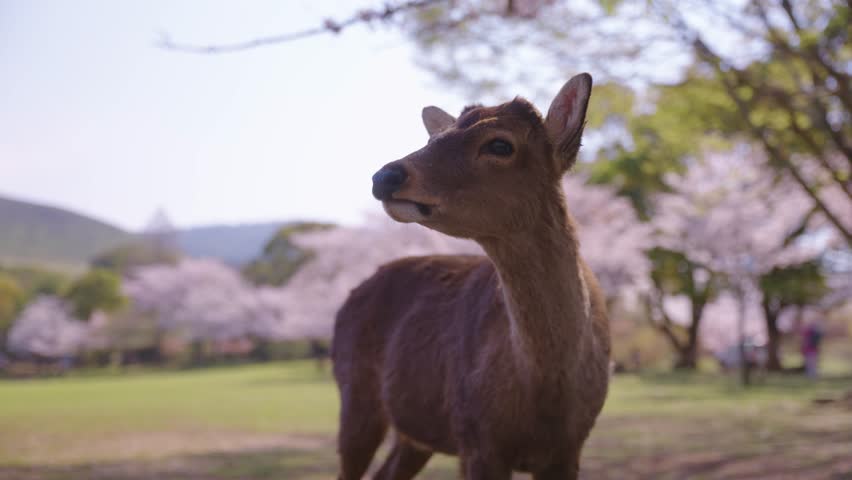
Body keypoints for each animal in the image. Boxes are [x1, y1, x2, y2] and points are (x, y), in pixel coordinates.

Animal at [332, 73, 610, 480]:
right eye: (433, 139)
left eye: (500, 143)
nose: (385, 175)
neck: (546, 397)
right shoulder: (476, 437)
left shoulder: (571, 446)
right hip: (354, 394)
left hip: (415, 431)